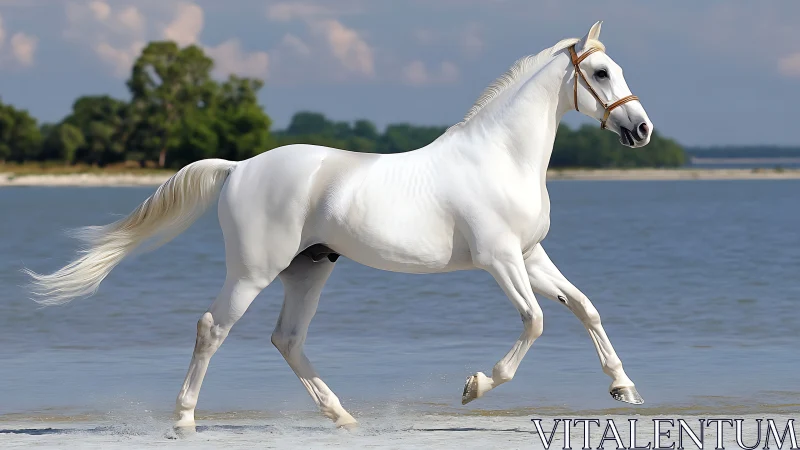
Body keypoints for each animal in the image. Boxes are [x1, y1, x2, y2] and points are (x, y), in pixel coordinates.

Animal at [25, 21, 653, 430]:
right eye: (600, 71)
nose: (641, 129)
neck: (500, 157)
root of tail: (238, 168)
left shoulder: (530, 255)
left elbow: (585, 308)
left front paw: (624, 388)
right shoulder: (499, 259)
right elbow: (536, 321)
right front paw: (475, 387)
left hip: (309, 269)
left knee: (286, 339)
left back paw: (342, 416)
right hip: (254, 271)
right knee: (211, 329)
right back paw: (183, 420)